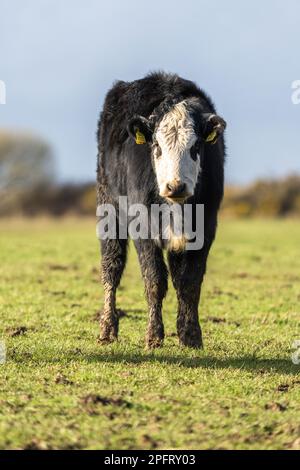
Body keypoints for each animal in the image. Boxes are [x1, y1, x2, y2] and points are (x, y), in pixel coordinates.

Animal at [97, 70, 226, 348]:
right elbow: (154, 280)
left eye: (195, 147)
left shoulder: (206, 227)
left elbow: (189, 282)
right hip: (108, 209)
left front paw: (190, 336)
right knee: (111, 266)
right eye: (156, 146)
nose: (175, 186)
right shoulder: (143, 228)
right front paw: (153, 336)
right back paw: (107, 329)